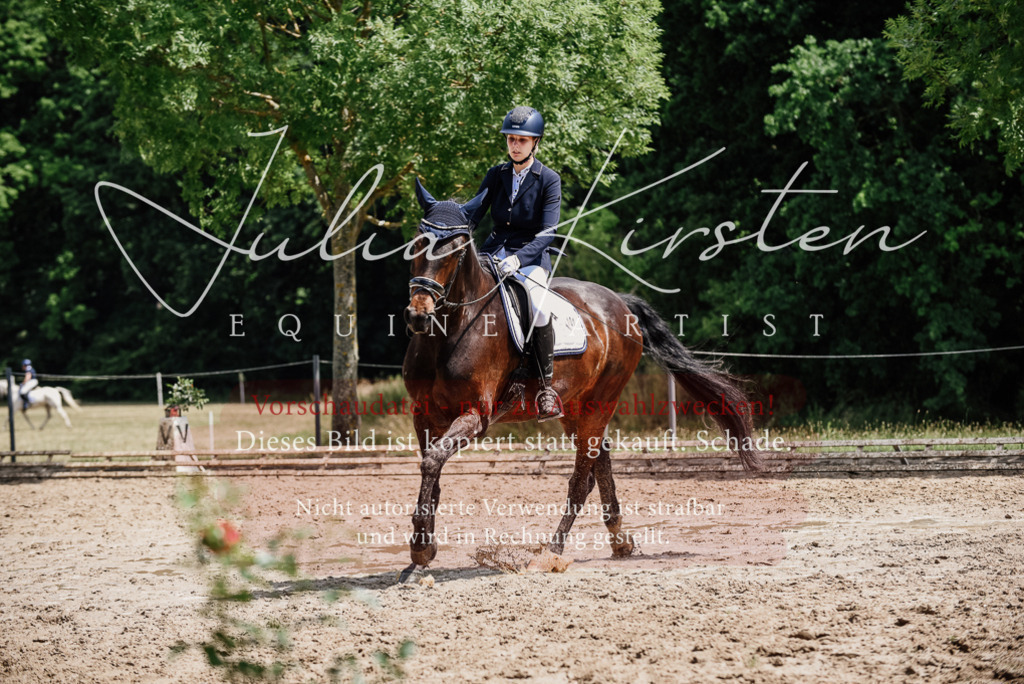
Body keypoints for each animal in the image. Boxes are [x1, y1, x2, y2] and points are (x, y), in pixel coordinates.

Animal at [401, 180, 763, 573]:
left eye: (455, 250)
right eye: (417, 243)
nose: (418, 315)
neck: (449, 331)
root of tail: (619, 303)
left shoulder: (475, 416)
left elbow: (432, 463)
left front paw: (420, 549)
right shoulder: (424, 414)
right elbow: (432, 472)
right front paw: (422, 554)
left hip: (599, 402)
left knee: (579, 481)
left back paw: (551, 552)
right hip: (575, 407)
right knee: (598, 462)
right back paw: (619, 540)